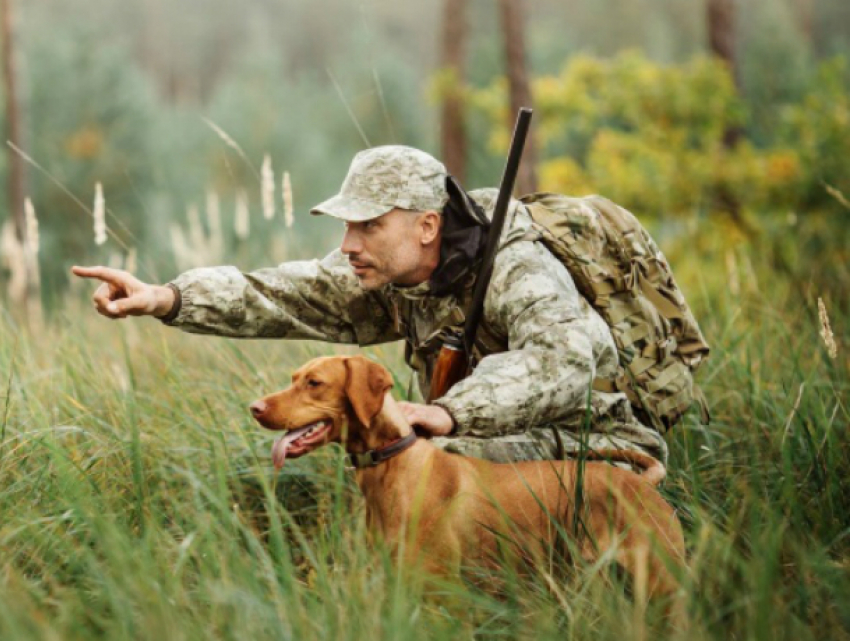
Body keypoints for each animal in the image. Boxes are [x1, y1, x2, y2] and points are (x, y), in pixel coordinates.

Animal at [248, 352, 684, 596]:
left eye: (314, 383)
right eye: (293, 378)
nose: (255, 407)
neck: (394, 464)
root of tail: (642, 483)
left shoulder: (440, 591)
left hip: (660, 581)